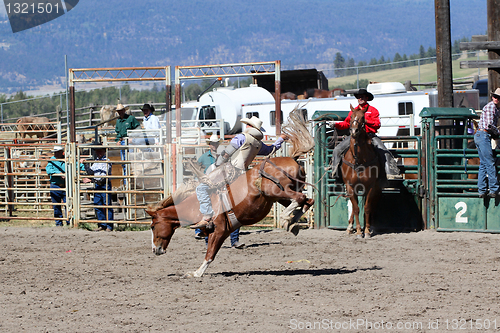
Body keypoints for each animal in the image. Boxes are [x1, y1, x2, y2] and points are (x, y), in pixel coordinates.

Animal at [146, 108, 314, 274]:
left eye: (153, 226)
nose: (155, 250)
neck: (195, 206)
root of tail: (293, 159)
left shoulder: (219, 230)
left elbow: (210, 253)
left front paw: (196, 273)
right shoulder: (223, 231)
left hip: (275, 191)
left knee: (300, 198)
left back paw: (285, 219)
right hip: (278, 196)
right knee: (307, 201)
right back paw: (291, 223)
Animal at [340, 105, 382, 237]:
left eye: (363, 117)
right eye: (351, 117)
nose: (354, 131)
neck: (358, 159)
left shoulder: (371, 186)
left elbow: (367, 208)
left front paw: (367, 231)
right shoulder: (350, 186)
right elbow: (356, 208)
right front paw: (358, 231)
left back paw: (371, 227)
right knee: (354, 207)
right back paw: (350, 227)